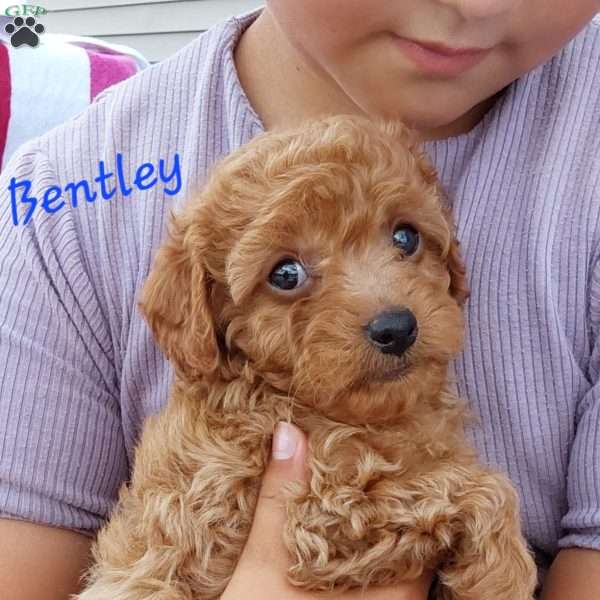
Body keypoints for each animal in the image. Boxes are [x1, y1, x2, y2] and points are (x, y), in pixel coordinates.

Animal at [76, 113, 540, 600]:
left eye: (406, 236)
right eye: (285, 274)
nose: (396, 328)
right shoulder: (323, 510)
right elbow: (480, 487)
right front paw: (503, 574)